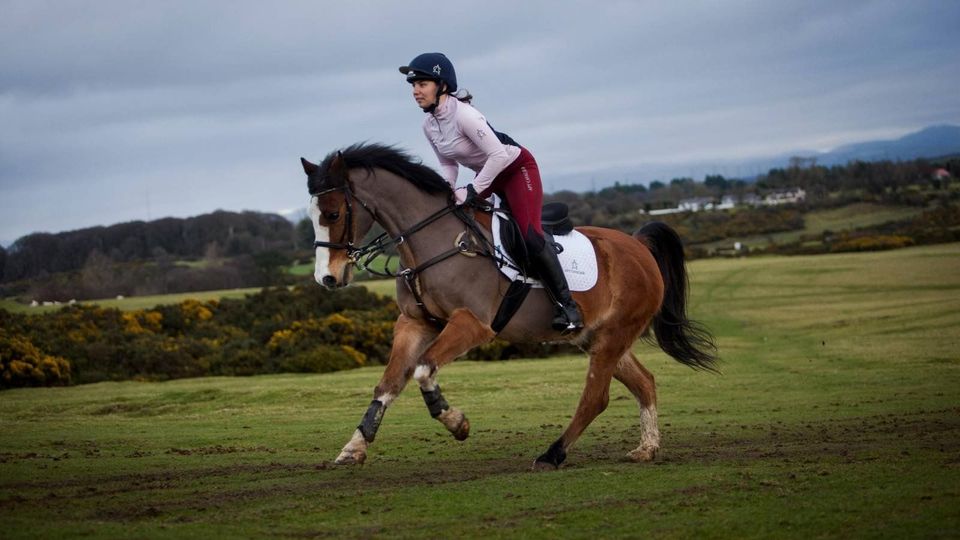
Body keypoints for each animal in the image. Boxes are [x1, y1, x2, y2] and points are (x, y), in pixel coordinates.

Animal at [300, 143, 717, 470]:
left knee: (595, 398)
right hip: (598, 337)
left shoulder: (472, 324)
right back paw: (647, 448)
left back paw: (552, 454)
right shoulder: (415, 324)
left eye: (334, 214)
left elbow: (422, 369)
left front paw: (456, 422)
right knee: (644, 383)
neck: (432, 241)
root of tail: (638, 246)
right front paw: (353, 448)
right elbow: (388, 382)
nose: (327, 278)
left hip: (612, 337)